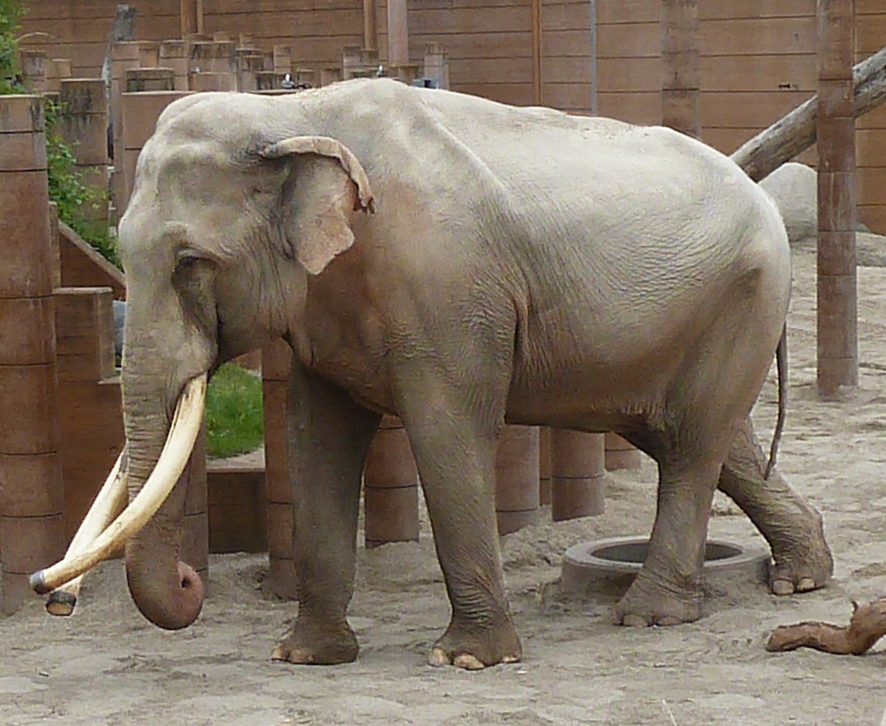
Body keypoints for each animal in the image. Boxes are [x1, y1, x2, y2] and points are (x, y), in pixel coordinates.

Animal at [41, 78, 836, 672]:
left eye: (189, 264)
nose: (53, 597)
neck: (292, 116)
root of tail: (761, 193)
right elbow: (317, 439)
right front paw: (305, 657)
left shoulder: (451, 292)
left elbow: (446, 429)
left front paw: (467, 660)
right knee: (696, 439)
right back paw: (801, 577)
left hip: (746, 296)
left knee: (693, 446)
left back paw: (648, 616)